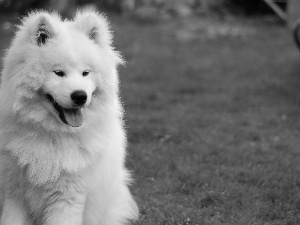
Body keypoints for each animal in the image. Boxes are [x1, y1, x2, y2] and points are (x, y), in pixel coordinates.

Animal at [0, 10, 138, 225]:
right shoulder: (14, 193)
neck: (53, 135)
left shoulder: (68, 195)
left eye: (85, 73)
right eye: (59, 73)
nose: (80, 96)